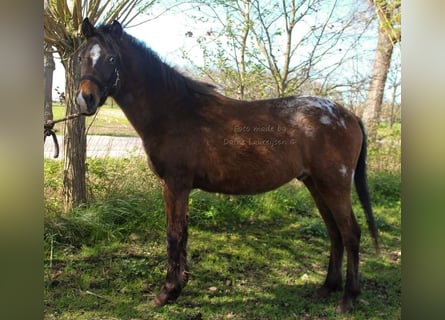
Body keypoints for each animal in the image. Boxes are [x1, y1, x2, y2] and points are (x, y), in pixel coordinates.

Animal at [75, 17, 378, 312]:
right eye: (81, 57)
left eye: (112, 58)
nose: (84, 99)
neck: (175, 112)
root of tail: (348, 115)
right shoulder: (178, 187)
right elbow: (183, 233)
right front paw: (179, 286)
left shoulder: (175, 185)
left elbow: (174, 234)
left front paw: (167, 292)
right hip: (316, 184)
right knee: (334, 232)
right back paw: (327, 287)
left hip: (335, 185)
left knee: (350, 233)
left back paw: (348, 298)